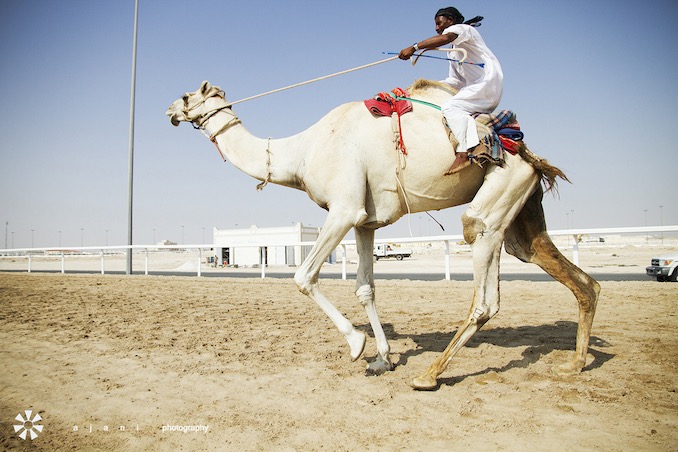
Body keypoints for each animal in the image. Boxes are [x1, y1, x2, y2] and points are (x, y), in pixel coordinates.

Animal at [167, 79, 604, 390]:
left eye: (187, 95)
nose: (169, 110)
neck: (302, 153)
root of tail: (532, 158)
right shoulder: (364, 221)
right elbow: (365, 287)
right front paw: (382, 356)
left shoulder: (344, 209)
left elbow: (304, 276)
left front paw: (356, 345)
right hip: (521, 211)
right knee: (569, 274)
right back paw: (575, 364)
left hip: (497, 197)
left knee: (484, 289)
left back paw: (430, 375)